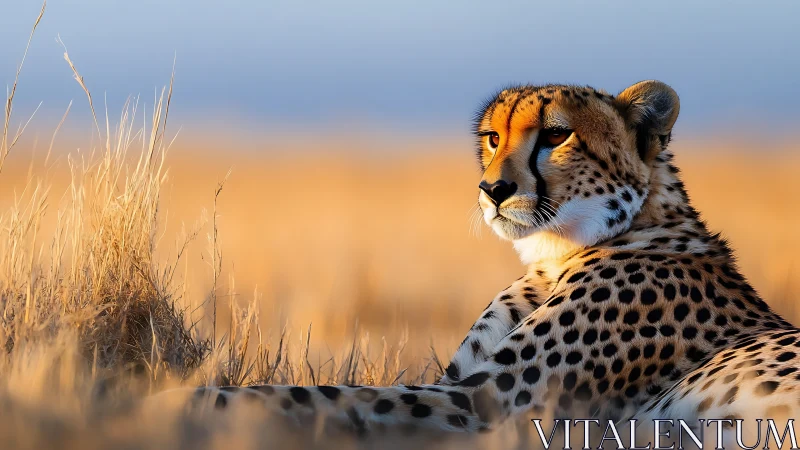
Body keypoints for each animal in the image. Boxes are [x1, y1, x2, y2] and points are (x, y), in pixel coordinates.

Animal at [148, 80, 800, 438]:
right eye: (492, 137)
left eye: (556, 135)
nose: (493, 189)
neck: (555, 255)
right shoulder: (464, 386)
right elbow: (336, 394)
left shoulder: (489, 404)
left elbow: (325, 393)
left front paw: (171, 402)